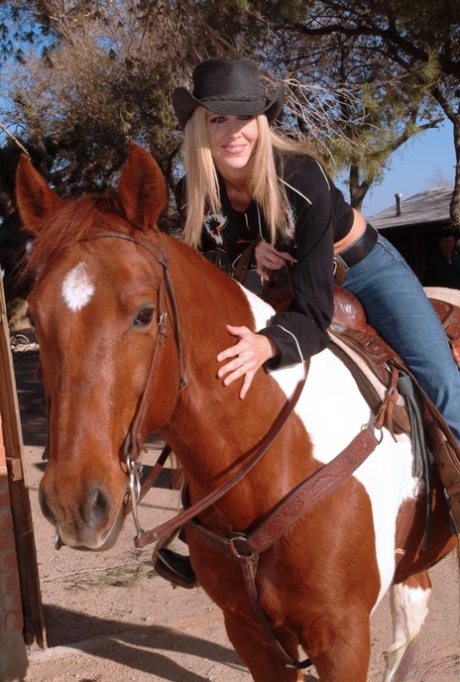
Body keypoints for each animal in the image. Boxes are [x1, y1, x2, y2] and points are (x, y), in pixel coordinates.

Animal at [16, 141, 458, 676]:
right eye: (34, 317)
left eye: (144, 314)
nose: (73, 503)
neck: (275, 462)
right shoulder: (249, 632)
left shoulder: (344, 639)